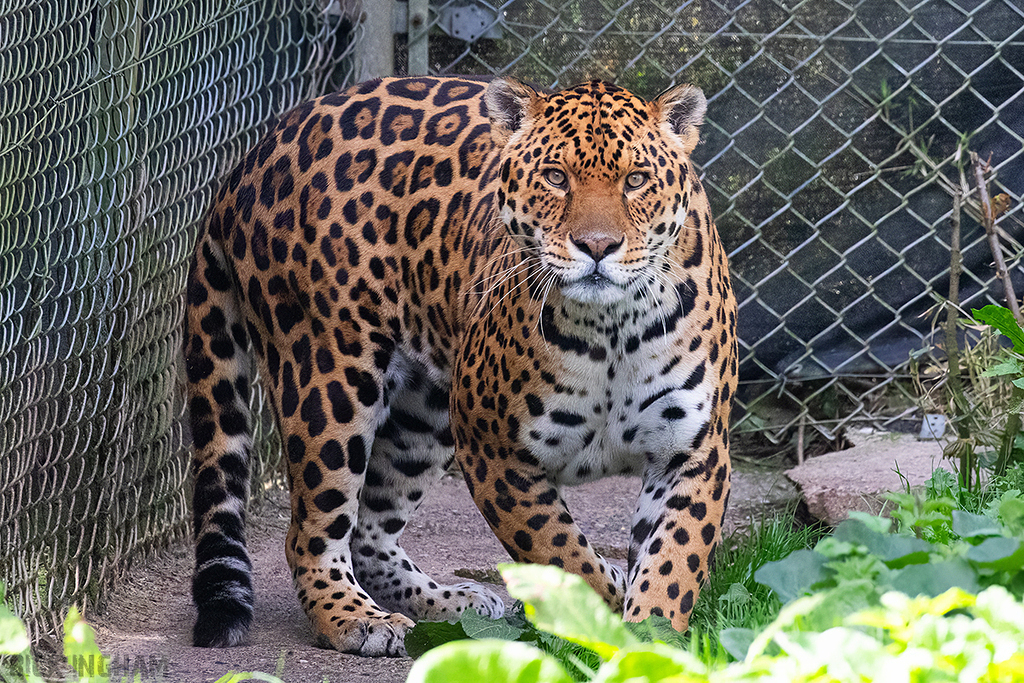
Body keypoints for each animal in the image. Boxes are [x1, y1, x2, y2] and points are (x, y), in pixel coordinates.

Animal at [185, 75, 737, 657]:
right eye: (556, 177)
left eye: (636, 180)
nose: (597, 246)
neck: (611, 326)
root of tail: (255, 152)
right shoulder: (494, 450)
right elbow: (563, 555)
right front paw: (602, 619)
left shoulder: (694, 453)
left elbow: (671, 564)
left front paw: (652, 641)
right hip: (328, 381)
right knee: (311, 532)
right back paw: (355, 618)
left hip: (425, 414)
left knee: (369, 530)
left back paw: (453, 602)